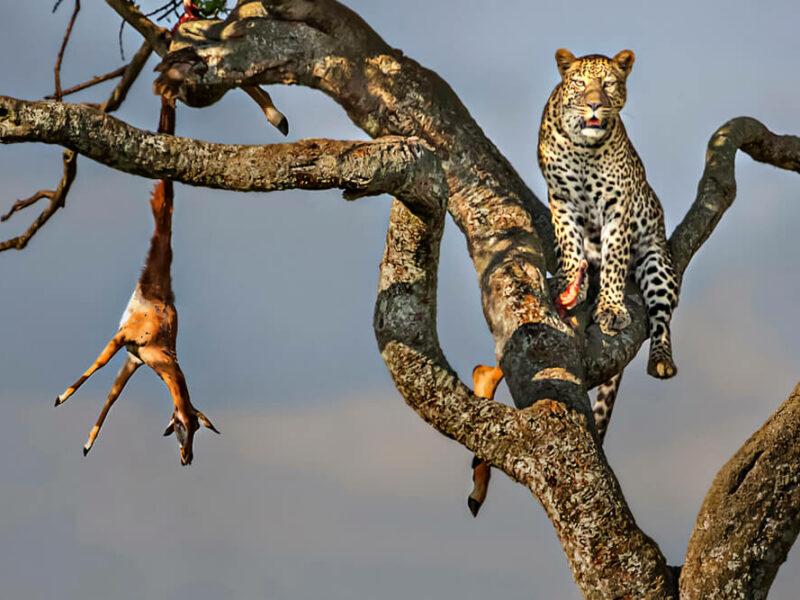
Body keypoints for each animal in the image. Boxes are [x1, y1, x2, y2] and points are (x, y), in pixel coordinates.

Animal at [538, 49, 679, 438]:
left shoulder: (619, 208)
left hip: (657, 264)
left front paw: (612, 309)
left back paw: (662, 361)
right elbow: (569, 243)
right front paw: (569, 280)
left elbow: (615, 258)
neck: (585, 149)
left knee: (662, 318)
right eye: (580, 83)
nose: (594, 105)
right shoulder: (560, 199)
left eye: (608, 84)